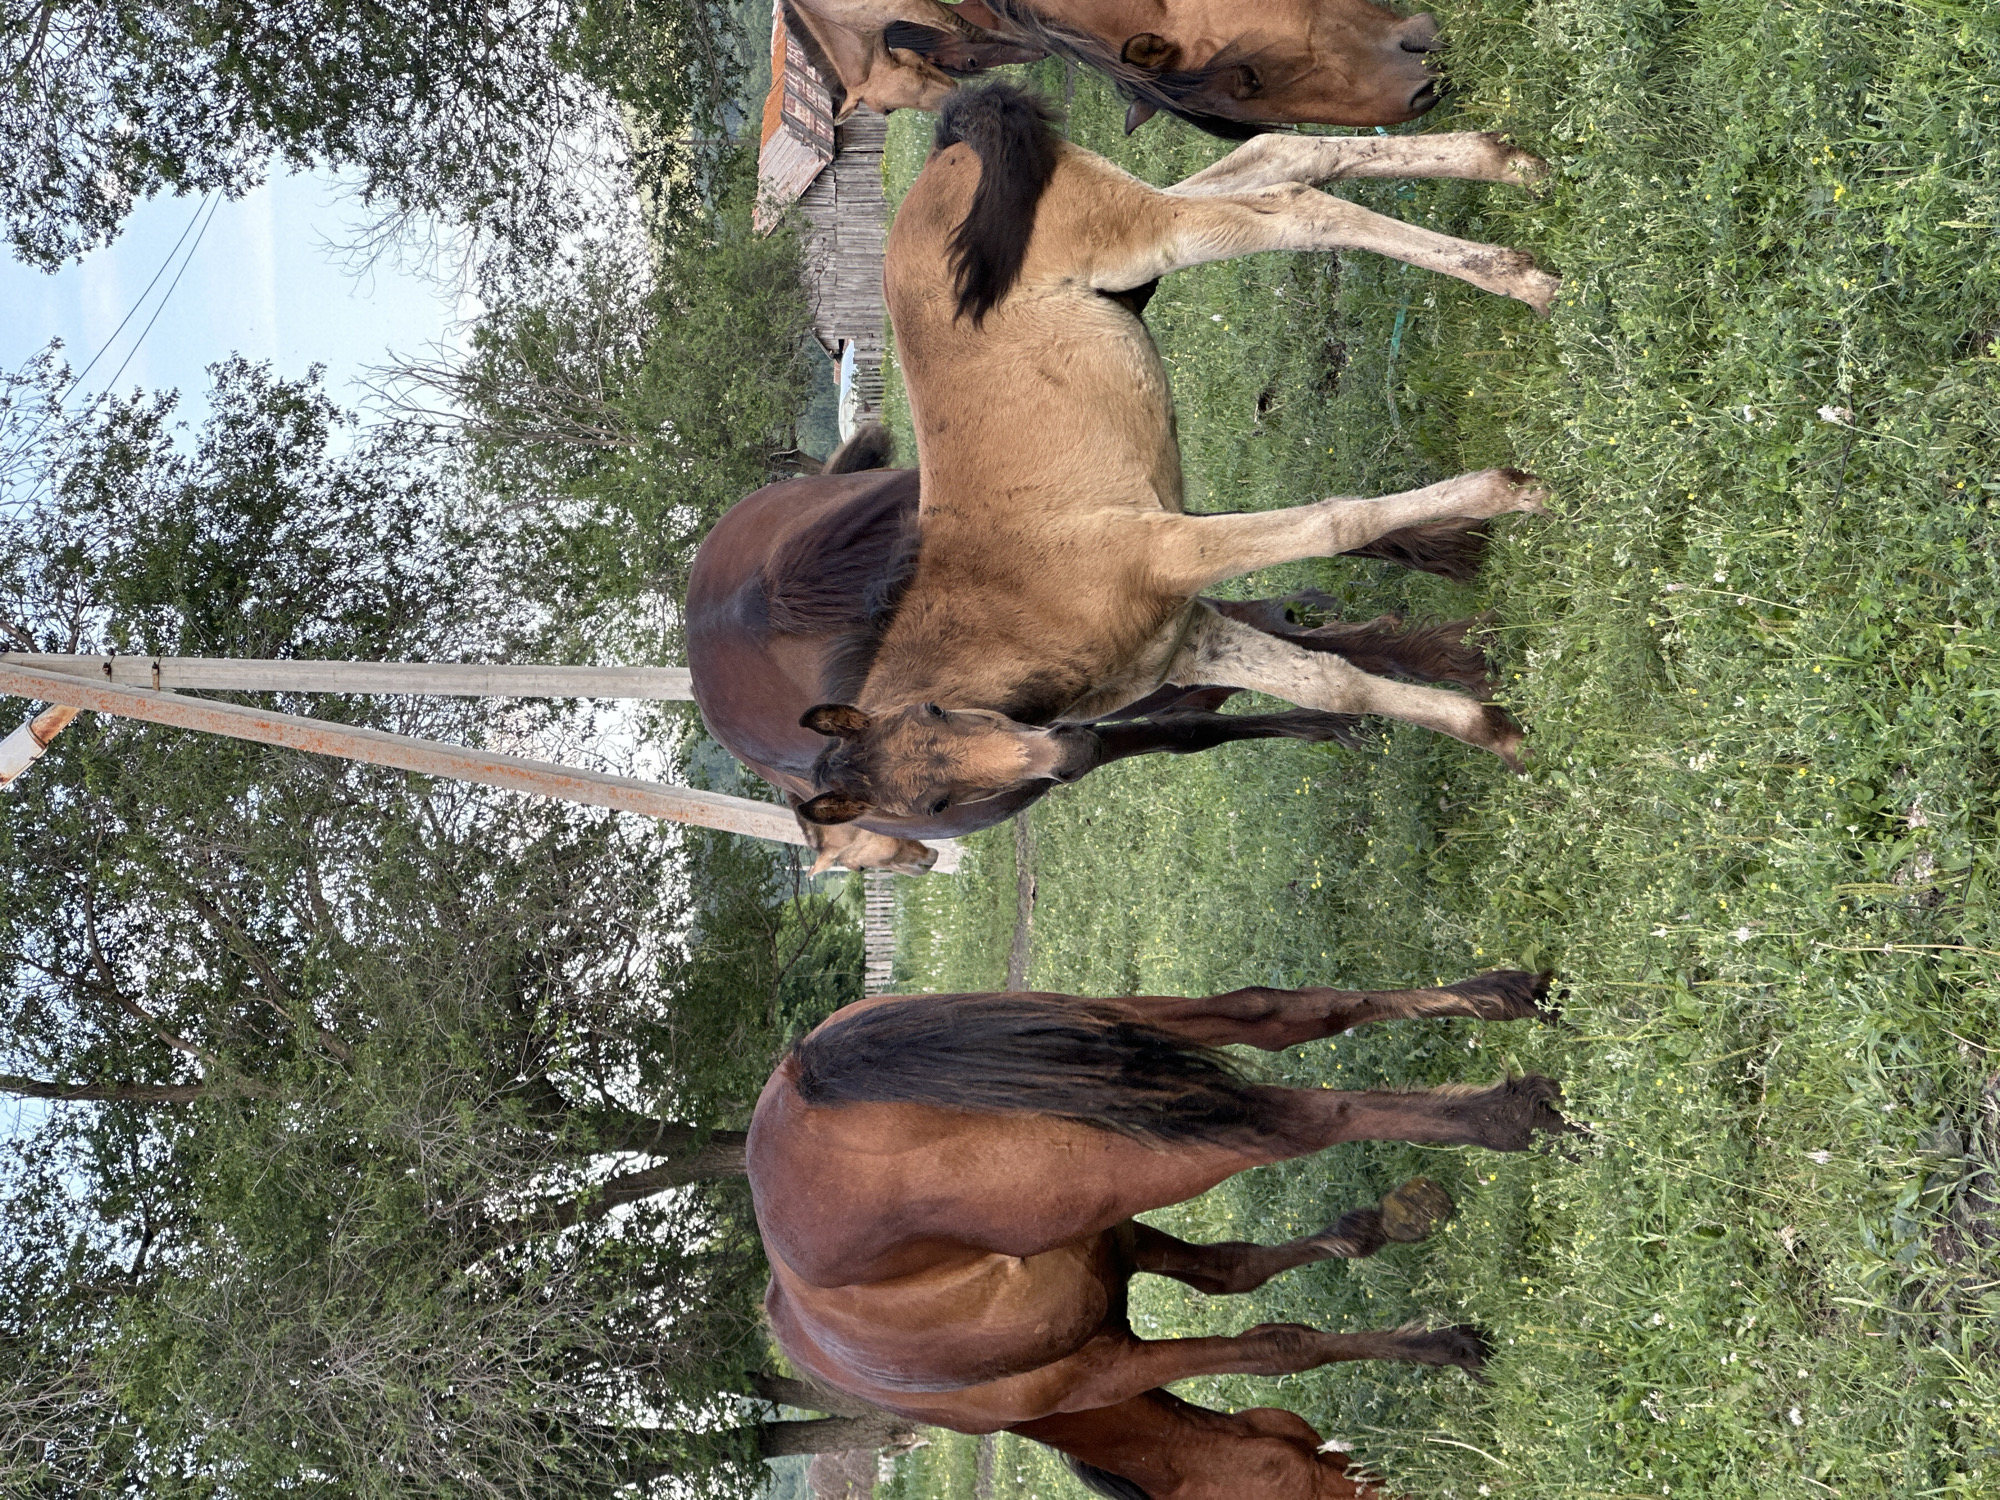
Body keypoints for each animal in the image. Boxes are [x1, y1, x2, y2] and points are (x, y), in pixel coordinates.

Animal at [747, 968, 1573, 1497]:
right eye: (1287, 1476)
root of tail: (806, 1076)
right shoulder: (1116, 1292)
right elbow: (1248, 1296)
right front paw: (1419, 1301)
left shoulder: (1110, 1329)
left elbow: (1260, 1321)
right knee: (1284, 1040)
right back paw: (1503, 1019)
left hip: (1124, 1107)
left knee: (1293, 1090)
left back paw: (1508, 1101)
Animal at [783, 84, 1557, 836]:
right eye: (933, 805)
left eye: (939, 713)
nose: (1065, 754)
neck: (1015, 612)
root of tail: (944, 150)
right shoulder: (1193, 640)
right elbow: (1338, 683)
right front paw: (1495, 732)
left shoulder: (1172, 548)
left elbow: (1335, 524)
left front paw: (1512, 491)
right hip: (1133, 221)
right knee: (1279, 156)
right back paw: (1508, 165)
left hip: (1136, 236)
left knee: (1291, 205)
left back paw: (1520, 276)